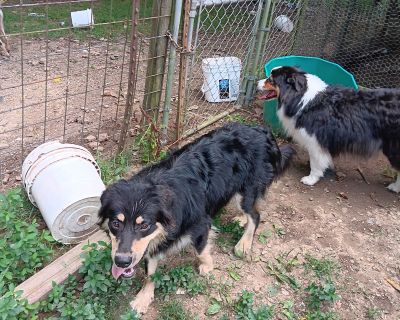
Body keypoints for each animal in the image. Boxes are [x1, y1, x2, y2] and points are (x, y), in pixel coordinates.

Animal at [99, 122, 294, 312]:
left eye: (144, 225)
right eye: (115, 223)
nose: (121, 261)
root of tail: (262, 130)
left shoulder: (200, 224)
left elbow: (201, 250)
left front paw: (207, 266)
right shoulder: (151, 242)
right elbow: (150, 272)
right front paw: (144, 297)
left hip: (246, 190)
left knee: (255, 215)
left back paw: (244, 243)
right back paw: (240, 218)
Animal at [256, 65, 400, 192]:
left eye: (271, 79)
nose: (257, 82)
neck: (302, 97)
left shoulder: (315, 141)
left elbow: (316, 163)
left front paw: (311, 179)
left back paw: (395, 188)